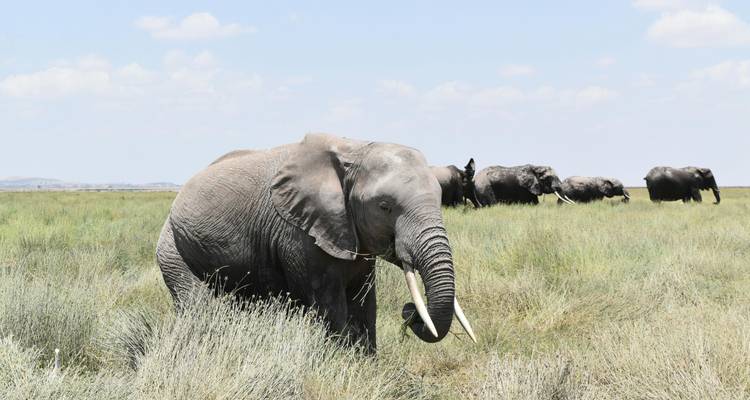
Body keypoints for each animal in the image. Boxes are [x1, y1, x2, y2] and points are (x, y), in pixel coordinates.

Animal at [155, 133, 476, 354]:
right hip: (172, 245)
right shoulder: (300, 234)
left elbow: (364, 305)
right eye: (385, 207)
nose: (409, 312)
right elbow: (331, 306)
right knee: (199, 305)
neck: (354, 149)